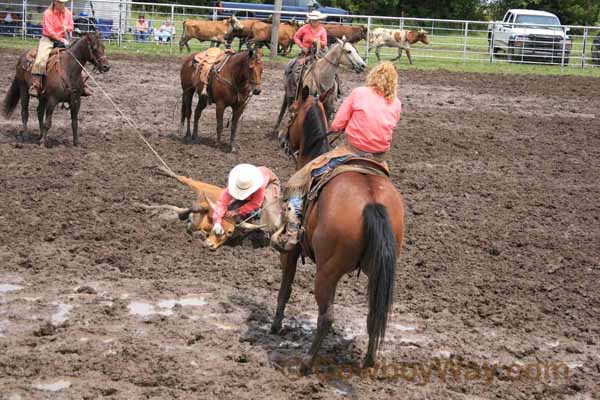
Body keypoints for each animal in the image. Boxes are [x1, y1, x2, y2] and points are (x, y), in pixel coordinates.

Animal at [270, 87, 404, 372]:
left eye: (292, 110)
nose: (282, 138)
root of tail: (372, 201)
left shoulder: (290, 253)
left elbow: (285, 288)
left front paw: (275, 326)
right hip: (377, 270)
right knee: (373, 314)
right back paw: (369, 360)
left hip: (327, 271)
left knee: (326, 316)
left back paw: (307, 362)